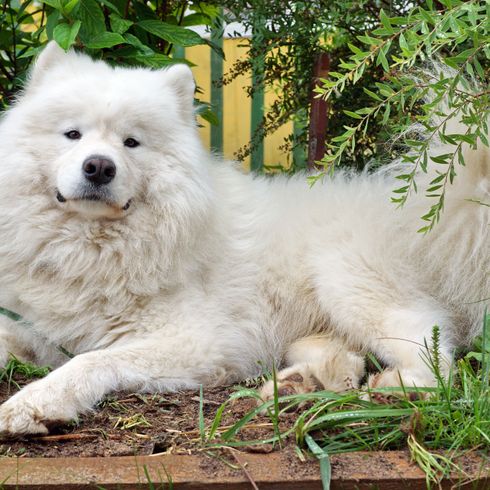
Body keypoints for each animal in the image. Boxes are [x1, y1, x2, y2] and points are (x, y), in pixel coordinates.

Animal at [0, 44, 486, 436]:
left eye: (132, 142)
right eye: (72, 134)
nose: (99, 166)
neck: (96, 247)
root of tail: (418, 211)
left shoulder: (198, 342)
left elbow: (91, 361)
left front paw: (34, 403)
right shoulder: (52, 330)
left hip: (348, 283)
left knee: (436, 354)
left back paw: (401, 391)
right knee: (347, 359)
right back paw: (298, 384)